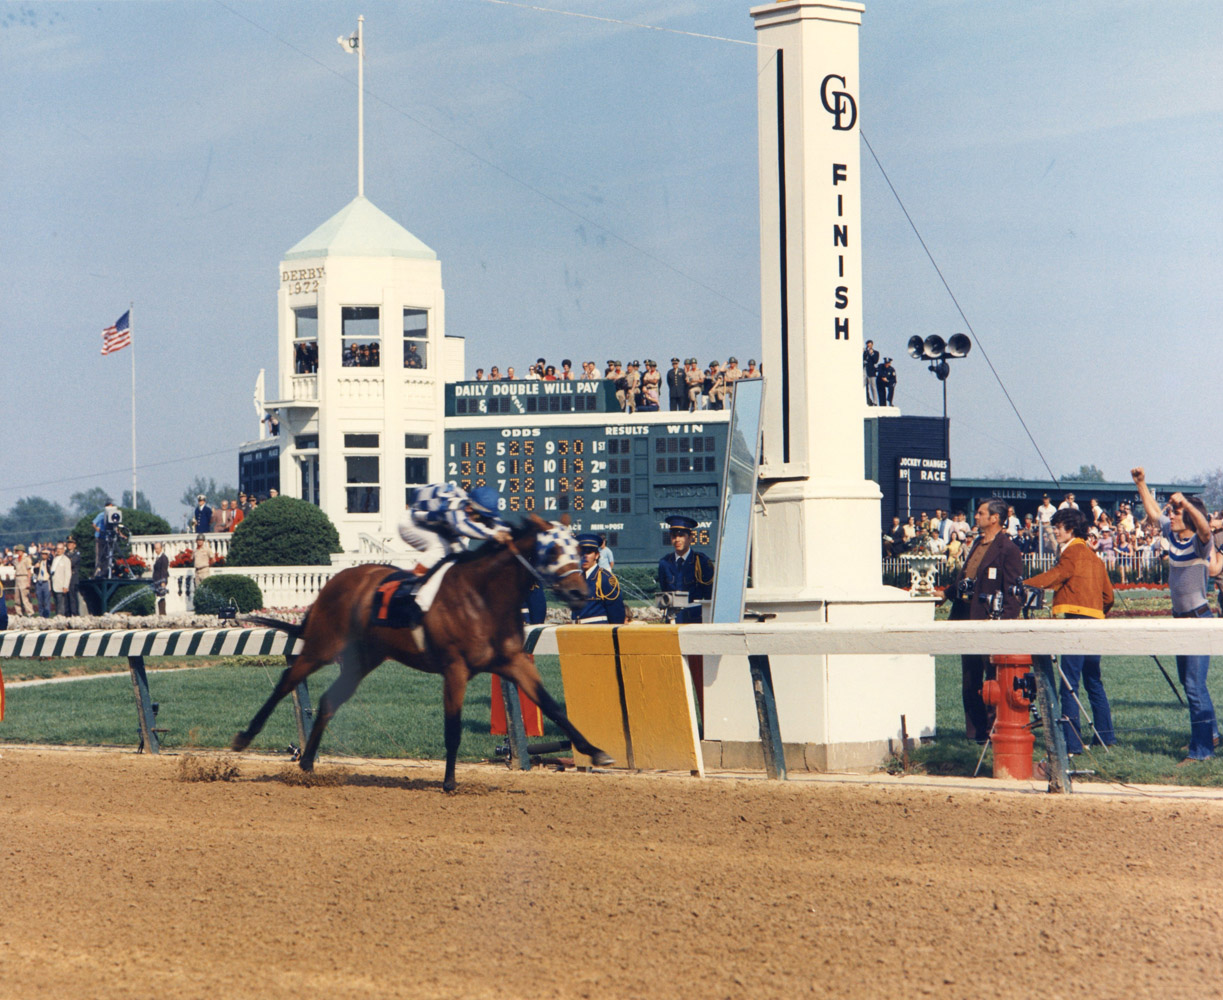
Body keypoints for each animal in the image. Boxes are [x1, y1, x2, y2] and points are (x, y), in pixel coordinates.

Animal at [231, 513, 611, 787]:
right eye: (552, 551)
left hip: (362, 660)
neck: (483, 597)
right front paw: (449, 782)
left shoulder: (514, 662)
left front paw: (596, 751)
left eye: (577, 551)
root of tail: (333, 582)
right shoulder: (455, 668)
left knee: (327, 701)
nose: (579, 593)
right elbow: (453, 727)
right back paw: (244, 738)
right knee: (286, 681)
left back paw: (308, 763)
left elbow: (553, 707)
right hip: (322, 647)